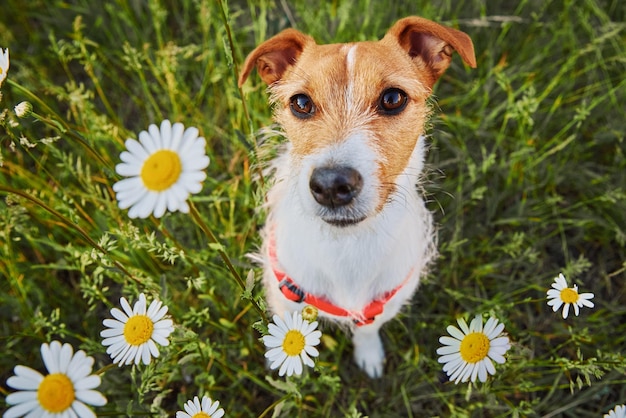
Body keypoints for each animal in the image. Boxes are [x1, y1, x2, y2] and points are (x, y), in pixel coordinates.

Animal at [238, 16, 472, 378]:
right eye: (300, 103)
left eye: (393, 98)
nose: (331, 185)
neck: (347, 246)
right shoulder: (284, 299)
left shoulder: (383, 302)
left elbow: (368, 328)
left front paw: (369, 354)